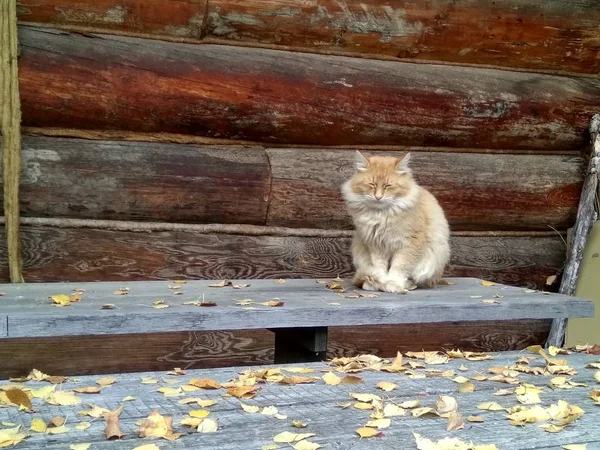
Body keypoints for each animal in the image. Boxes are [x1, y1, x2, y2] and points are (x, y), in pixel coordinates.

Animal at [342, 149, 450, 294]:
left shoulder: (408, 244)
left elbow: (399, 267)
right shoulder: (376, 246)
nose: (378, 197)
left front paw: (393, 283)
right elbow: (379, 268)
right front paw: (380, 281)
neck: (381, 215)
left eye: (388, 186)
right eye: (372, 184)